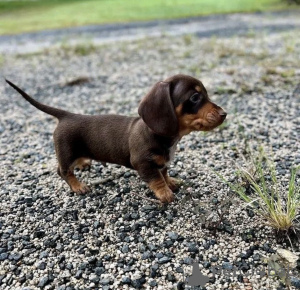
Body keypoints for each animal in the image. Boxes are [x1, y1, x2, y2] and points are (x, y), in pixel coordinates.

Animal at [5, 73, 226, 203]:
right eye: (195, 98)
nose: (225, 114)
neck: (161, 136)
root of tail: (67, 115)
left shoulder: (161, 162)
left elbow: (163, 172)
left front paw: (170, 181)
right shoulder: (143, 164)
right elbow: (156, 179)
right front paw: (164, 193)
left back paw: (84, 163)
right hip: (66, 152)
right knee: (63, 171)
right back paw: (78, 186)